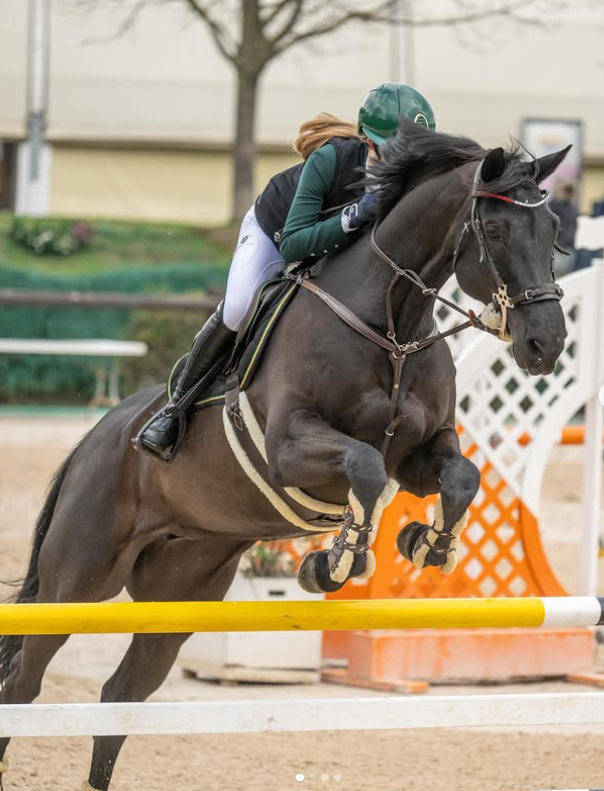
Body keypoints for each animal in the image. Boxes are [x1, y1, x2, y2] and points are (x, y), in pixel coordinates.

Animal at [0, 119, 569, 790]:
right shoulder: (292, 446)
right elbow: (364, 469)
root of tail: (93, 440)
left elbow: (461, 476)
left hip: (184, 584)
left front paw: (427, 545)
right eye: (497, 230)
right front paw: (339, 561)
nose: (546, 344)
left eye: (554, 229)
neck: (393, 329)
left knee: (121, 694)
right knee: (24, 682)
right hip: (79, 581)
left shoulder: (421, 456)